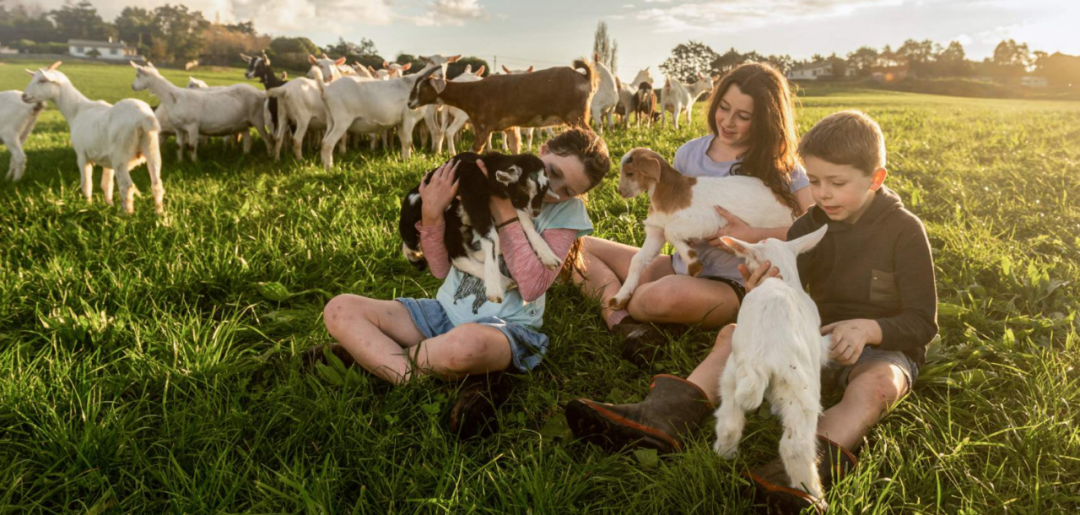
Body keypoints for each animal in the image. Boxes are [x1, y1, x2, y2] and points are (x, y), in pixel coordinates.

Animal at [20, 61, 162, 212]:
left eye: (42, 80)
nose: (23, 96)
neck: (77, 110)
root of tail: (144, 119)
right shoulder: (107, 160)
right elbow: (107, 185)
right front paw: (108, 206)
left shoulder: (82, 154)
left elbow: (86, 184)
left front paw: (87, 206)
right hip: (152, 148)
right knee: (156, 184)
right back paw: (160, 215)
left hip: (120, 154)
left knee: (127, 186)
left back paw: (126, 214)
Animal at [131, 61, 274, 160]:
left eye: (137, 75)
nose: (132, 86)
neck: (174, 98)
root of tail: (259, 93)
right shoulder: (179, 129)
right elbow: (179, 146)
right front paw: (180, 162)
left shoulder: (192, 126)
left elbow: (192, 146)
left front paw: (195, 163)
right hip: (243, 123)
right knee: (247, 139)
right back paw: (245, 155)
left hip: (257, 118)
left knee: (267, 138)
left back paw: (269, 155)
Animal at [406, 58, 600, 150]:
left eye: (421, 87)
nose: (409, 103)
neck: (472, 93)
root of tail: (585, 77)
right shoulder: (510, 127)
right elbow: (514, 147)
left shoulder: (483, 127)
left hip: (576, 116)